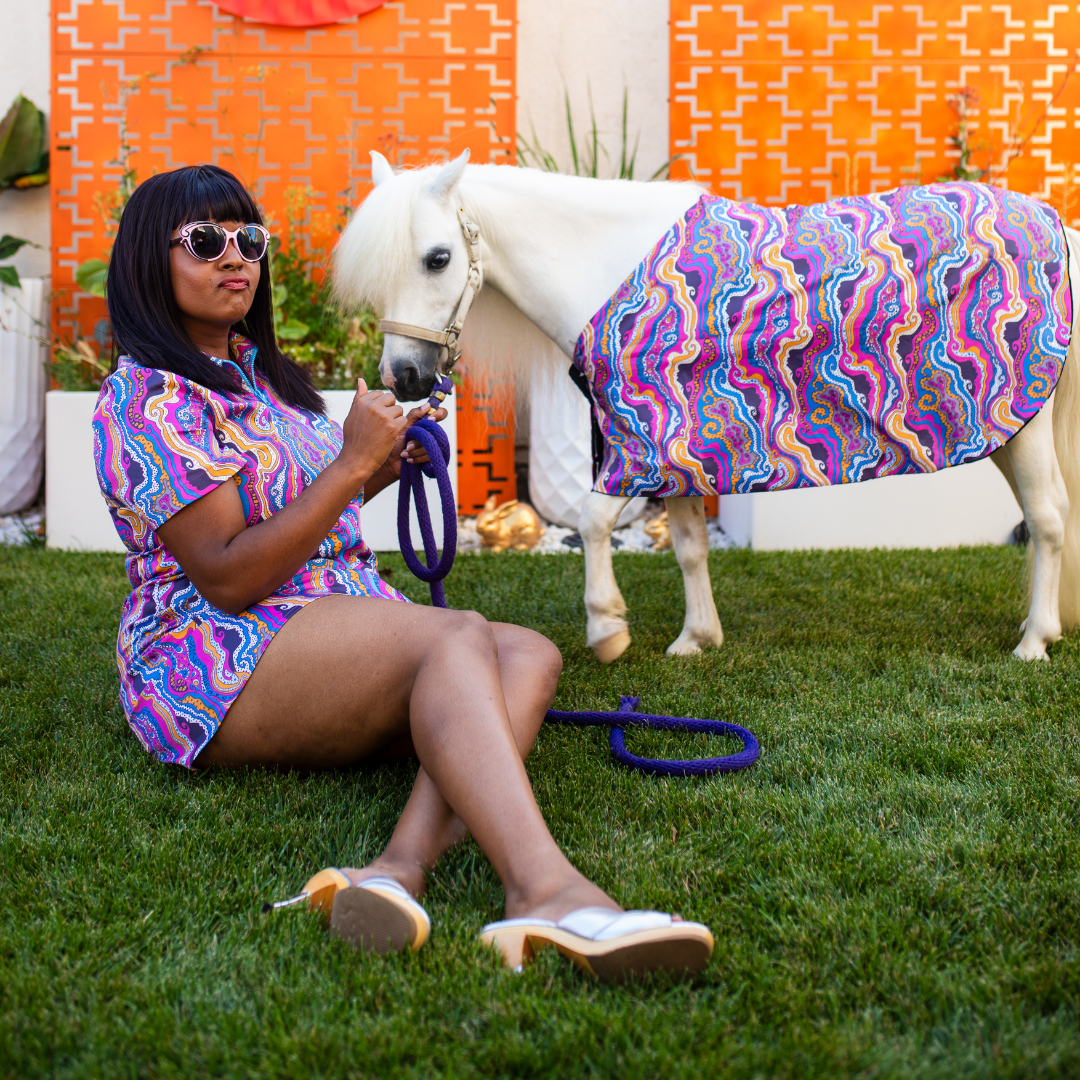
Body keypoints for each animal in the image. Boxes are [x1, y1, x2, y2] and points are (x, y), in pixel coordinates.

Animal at [332, 150, 1080, 656]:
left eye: (437, 258)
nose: (403, 376)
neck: (608, 270)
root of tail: (1055, 224)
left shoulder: (642, 438)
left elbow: (594, 521)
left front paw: (606, 626)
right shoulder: (677, 445)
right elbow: (690, 545)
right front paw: (697, 637)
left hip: (1022, 426)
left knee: (1047, 519)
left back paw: (1034, 641)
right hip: (1007, 431)